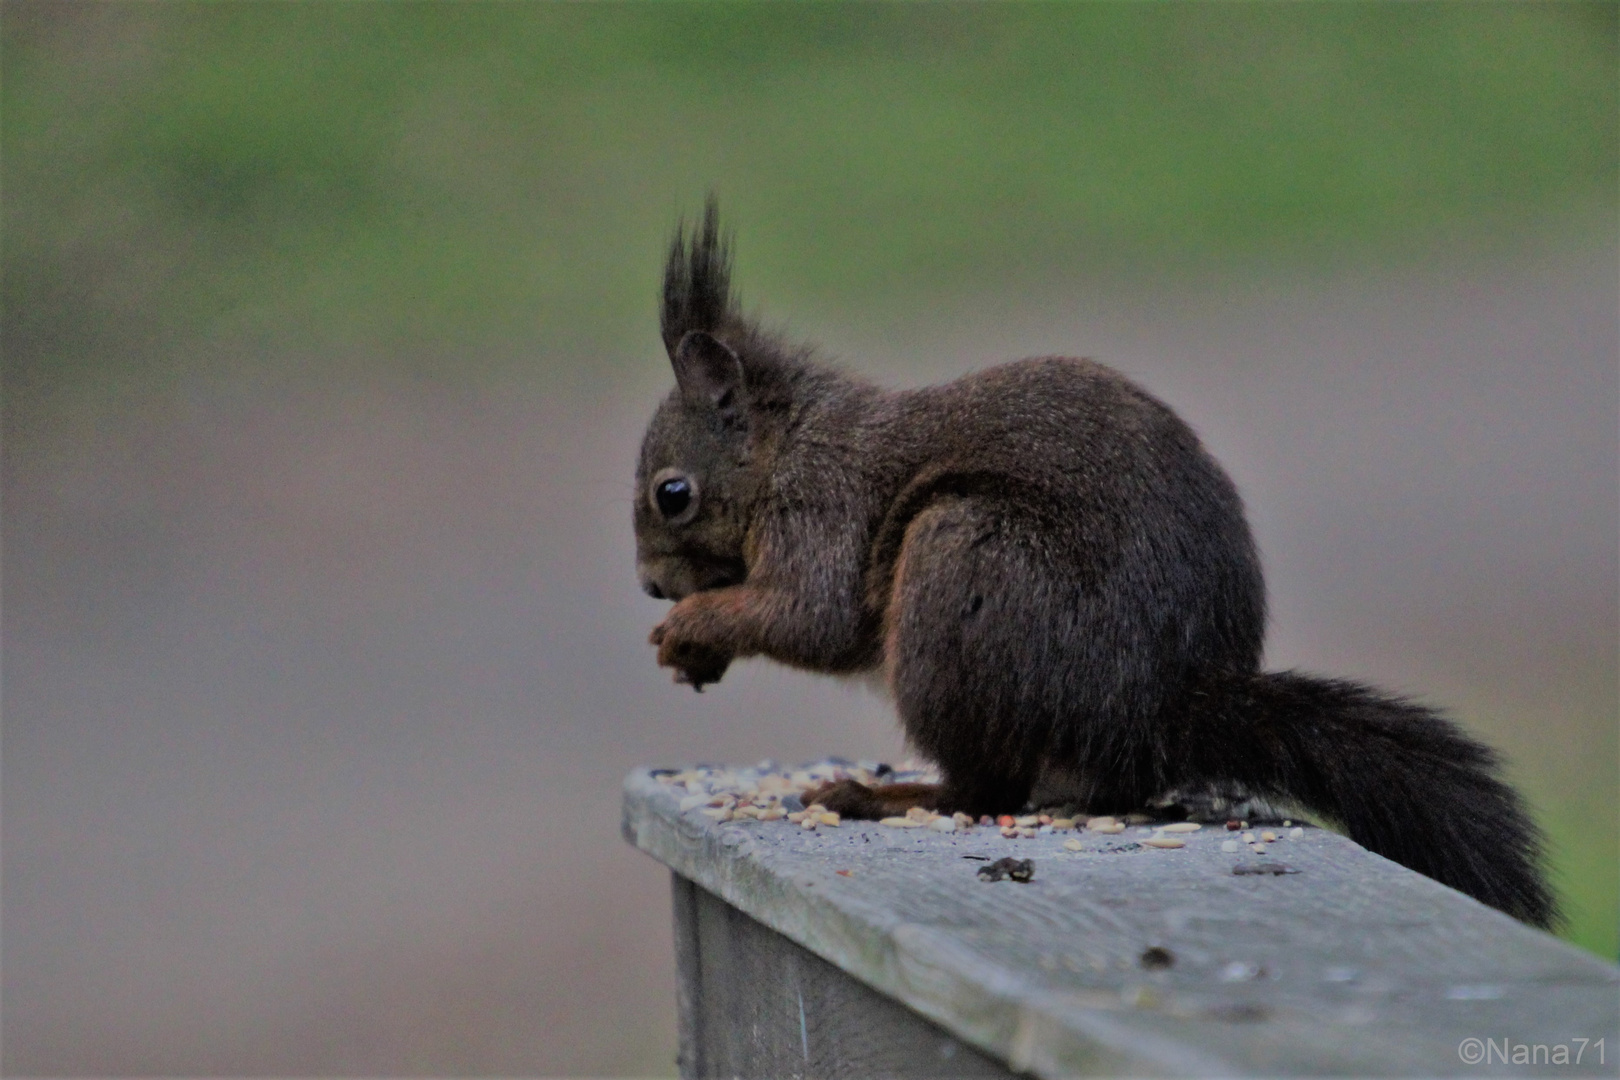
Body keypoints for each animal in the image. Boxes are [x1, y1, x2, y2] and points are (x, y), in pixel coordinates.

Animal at [631, 196, 1555, 932]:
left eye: (672, 493)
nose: (649, 584)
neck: (787, 448)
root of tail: (1155, 707)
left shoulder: (823, 510)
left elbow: (811, 618)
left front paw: (691, 628)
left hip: (962, 563)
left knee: (985, 792)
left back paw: (882, 797)